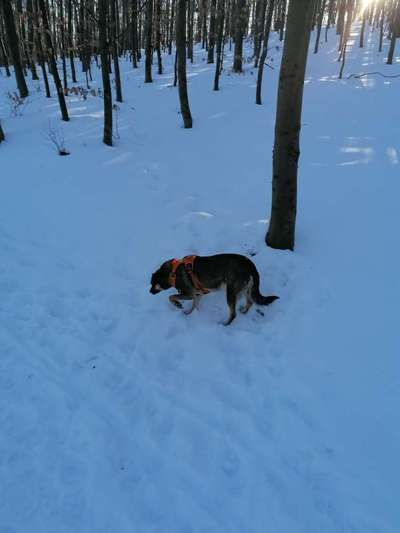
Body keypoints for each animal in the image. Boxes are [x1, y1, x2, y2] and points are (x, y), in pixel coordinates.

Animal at [150, 252, 278, 324]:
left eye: (152, 284)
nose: (149, 292)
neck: (172, 272)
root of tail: (250, 265)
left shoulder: (189, 294)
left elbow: (171, 297)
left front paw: (177, 304)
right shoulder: (197, 293)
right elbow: (194, 304)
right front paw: (189, 313)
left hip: (230, 293)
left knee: (233, 314)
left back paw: (225, 324)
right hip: (246, 290)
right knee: (250, 302)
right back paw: (244, 311)